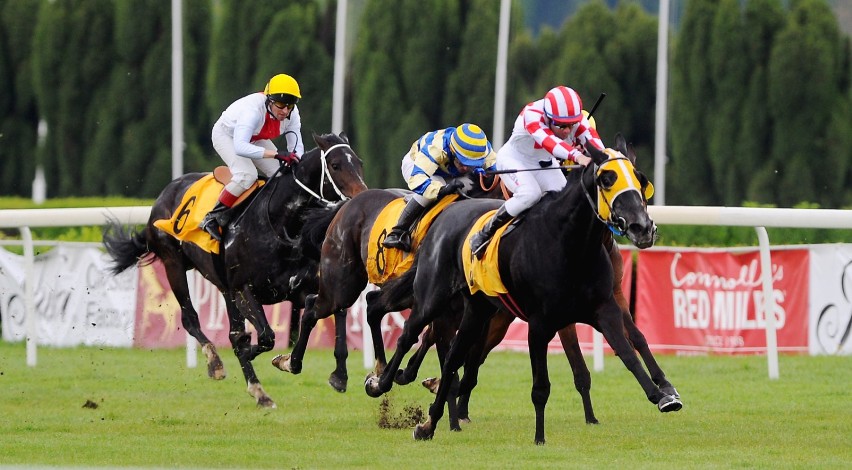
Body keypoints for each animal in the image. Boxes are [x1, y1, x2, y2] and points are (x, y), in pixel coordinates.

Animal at [100, 132, 366, 408]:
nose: (362, 195)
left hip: (223, 287)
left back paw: (259, 391)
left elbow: (332, 311)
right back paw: (217, 364)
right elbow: (265, 336)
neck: (280, 224)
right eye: (335, 165)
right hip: (174, 263)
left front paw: (337, 375)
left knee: (232, 330)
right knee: (190, 318)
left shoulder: (297, 288)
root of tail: (165, 194)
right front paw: (255, 353)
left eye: (359, 163)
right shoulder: (243, 290)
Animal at [362, 134, 684, 442]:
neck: (572, 245)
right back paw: (381, 380)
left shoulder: (604, 308)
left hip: (478, 310)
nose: (643, 227)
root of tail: (446, 214)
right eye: (607, 179)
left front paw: (663, 394)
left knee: (452, 356)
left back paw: (429, 423)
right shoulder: (541, 323)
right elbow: (541, 386)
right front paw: (540, 437)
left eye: (640, 179)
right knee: (406, 330)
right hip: (435, 298)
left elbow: (630, 349)